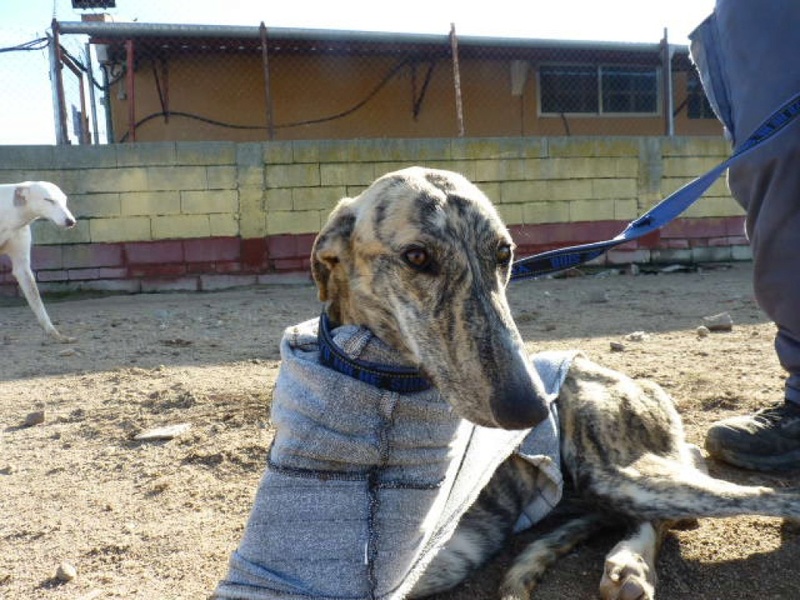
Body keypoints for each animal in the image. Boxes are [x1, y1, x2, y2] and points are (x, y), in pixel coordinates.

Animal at [0, 180, 76, 342]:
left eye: (65, 200)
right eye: (49, 200)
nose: (71, 221)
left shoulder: (22, 266)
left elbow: (36, 300)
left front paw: (56, 334)